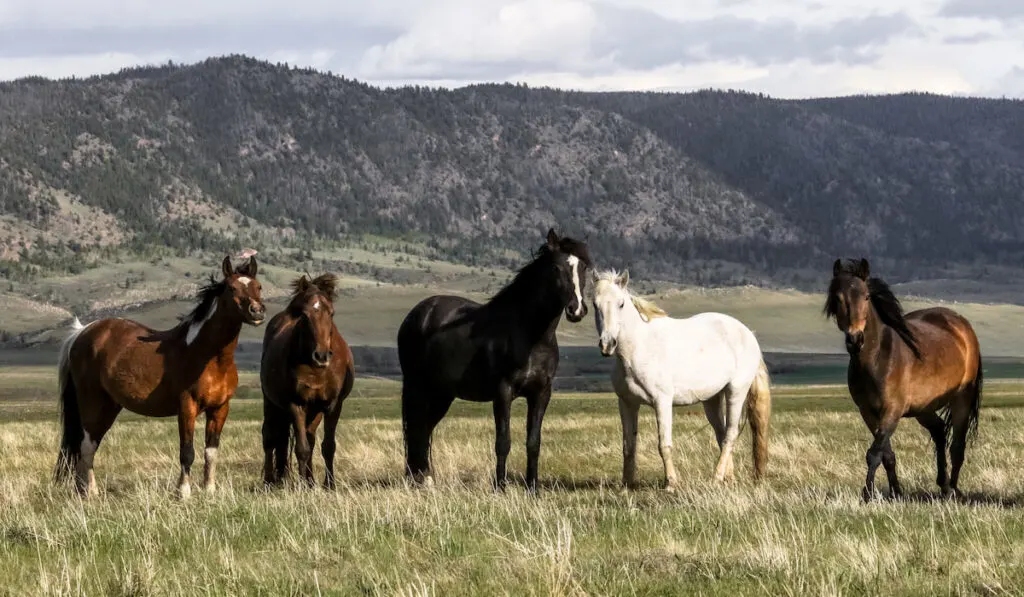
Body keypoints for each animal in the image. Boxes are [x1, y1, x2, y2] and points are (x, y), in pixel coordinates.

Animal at [54, 254, 266, 497]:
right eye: (232, 288)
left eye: (259, 286)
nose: (257, 311)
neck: (211, 358)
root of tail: (81, 332)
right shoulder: (187, 407)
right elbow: (187, 452)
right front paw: (183, 492)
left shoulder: (220, 409)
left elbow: (211, 452)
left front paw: (210, 490)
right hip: (92, 402)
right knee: (87, 445)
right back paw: (90, 492)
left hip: (110, 405)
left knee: (89, 445)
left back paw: (82, 490)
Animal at [260, 276, 356, 491]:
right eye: (304, 315)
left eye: (331, 312)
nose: (321, 356)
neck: (316, 369)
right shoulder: (295, 404)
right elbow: (301, 448)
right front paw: (302, 488)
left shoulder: (333, 405)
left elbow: (327, 446)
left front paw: (329, 485)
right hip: (271, 402)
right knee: (270, 437)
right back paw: (270, 481)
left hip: (314, 410)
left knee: (308, 437)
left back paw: (309, 481)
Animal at [397, 226, 593, 493]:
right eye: (556, 267)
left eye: (583, 267)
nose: (577, 309)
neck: (531, 335)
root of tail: (416, 315)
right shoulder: (503, 392)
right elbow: (503, 441)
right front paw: (499, 487)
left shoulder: (541, 393)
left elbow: (534, 442)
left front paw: (533, 488)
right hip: (418, 387)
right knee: (416, 430)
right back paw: (418, 480)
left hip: (441, 393)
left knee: (424, 430)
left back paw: (425, 478)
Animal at [589, 270, 770, 491]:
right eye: (595, 304)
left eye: (621, 303)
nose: (607, 344)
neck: (638, 349)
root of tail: (748, 334)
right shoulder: (627, 404)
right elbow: (628, 446)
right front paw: (626, 485)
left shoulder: (662, 402)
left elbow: (664, 445)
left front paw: (671, 484)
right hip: (712, 399)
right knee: (721, 433)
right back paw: (729, 478)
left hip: (736, 392)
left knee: (730, 434)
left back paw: (717, 478)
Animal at [823, 259, 983, 501]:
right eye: (838, 298)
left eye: (866, 296)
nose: (855, 339)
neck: (877, 359)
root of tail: (963, 326)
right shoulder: (868, 412)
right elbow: (886, 454)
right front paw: (896, 492)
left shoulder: (893, 410)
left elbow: (874, 453)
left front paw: (867, 494)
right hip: (923, 408)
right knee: (939, 431)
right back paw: (944, 484)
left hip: (961, 400)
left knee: (957, 446)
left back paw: (953, 491)